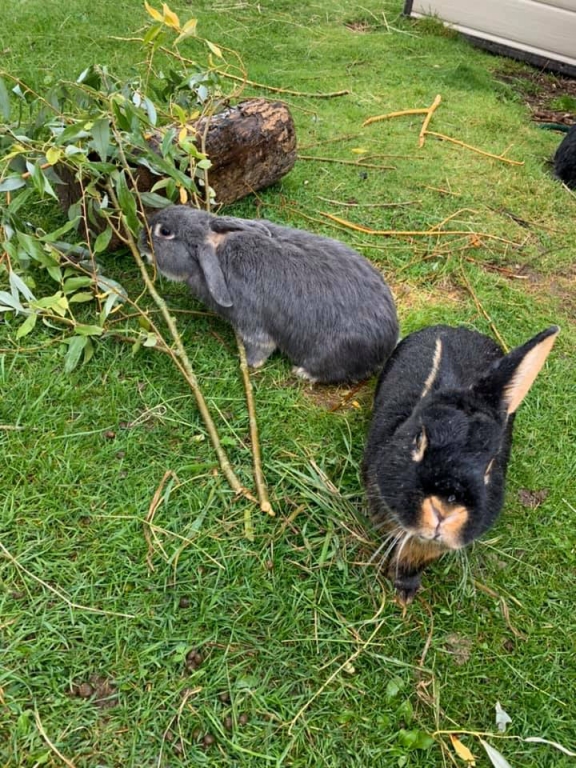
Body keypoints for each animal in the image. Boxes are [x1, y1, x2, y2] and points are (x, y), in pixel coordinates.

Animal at [139, 206, 399, 384]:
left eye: (164, 232)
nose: (141, 239)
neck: (217, 247)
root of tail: (385, 345)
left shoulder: (251, 323)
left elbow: (261, 345)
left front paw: (250, 364)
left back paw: (302, 372)